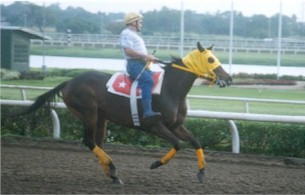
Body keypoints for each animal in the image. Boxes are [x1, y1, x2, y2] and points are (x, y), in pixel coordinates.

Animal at [14, 42, 230, 184]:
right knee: (89, 141)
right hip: (89, 113)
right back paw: (112, 170)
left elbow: (196, 142)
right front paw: (155, 164)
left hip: (101, 117)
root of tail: (70, 82)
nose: (228, 78)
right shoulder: (154, 125)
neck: (170, 89)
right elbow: (178, 144)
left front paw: (202, 173)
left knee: (98, 143)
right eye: (211, 59)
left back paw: (112, 174)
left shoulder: (176, 125)